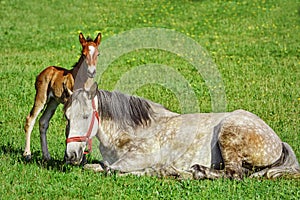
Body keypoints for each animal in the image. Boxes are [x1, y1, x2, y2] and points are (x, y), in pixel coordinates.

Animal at [23, 32, 102, 161]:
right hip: (41, 97)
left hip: (53, 102)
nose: (92, 72)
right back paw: (27, 154)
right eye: (83, 54)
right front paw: (68, 158)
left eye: (98, 54)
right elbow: (69, 129)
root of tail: (43, 72)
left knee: (43, 122)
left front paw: (82, 160)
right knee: (30, 119)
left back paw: (46, 156)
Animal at [63, 83, 300, 180]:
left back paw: (196, 172)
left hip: (229, 135)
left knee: (234, 174)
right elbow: (98, 167)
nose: (72, 155)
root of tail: (277, 141)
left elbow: (112, 170)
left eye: (86, 116)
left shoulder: (138, 158)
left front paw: (154, 171)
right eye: (66, 117)